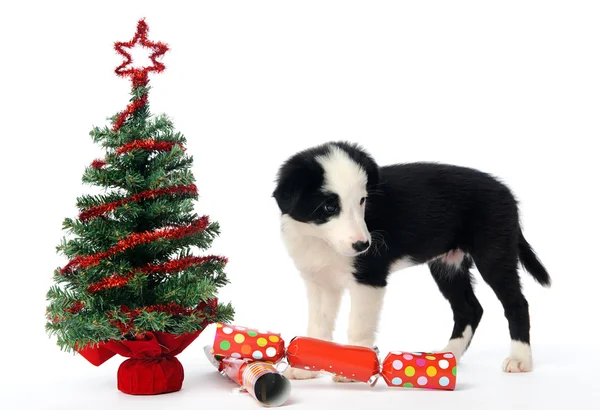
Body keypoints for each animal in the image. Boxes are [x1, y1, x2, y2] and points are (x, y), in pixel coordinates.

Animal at [274, 141, 552, 382]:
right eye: (329, 207)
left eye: (362, 200)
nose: (364, 246)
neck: (320, 239)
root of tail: (507, 194)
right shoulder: (320, 282)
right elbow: (318, 327)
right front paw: (305, 369)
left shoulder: (369, 279)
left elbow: (358, 327)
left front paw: (351, 370)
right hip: (447, 265)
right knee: (470, 308)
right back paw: (449, 353)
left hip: (494, 254)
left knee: (516, 303)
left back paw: (520, 359)